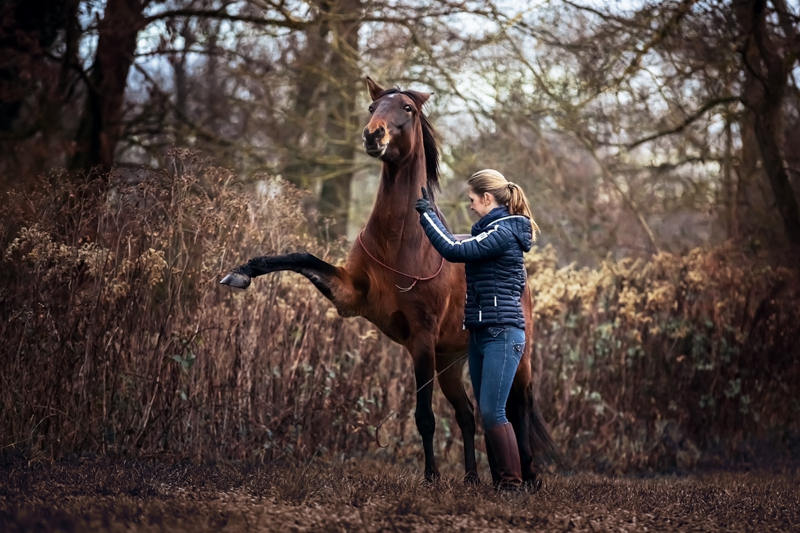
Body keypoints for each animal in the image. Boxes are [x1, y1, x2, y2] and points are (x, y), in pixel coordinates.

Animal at [219, 76, 556, 486]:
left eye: (406, 109)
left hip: (514, 362)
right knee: (469, 413)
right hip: (452, 362)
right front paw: (241, 273)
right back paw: (474, 478)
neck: (400, 242)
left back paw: (528, 477)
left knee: (517, 409)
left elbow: (424, 416)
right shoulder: (349, 296)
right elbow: (300, 258)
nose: (372, 135)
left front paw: (430, 477)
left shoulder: (421, 339)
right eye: (371, 107)